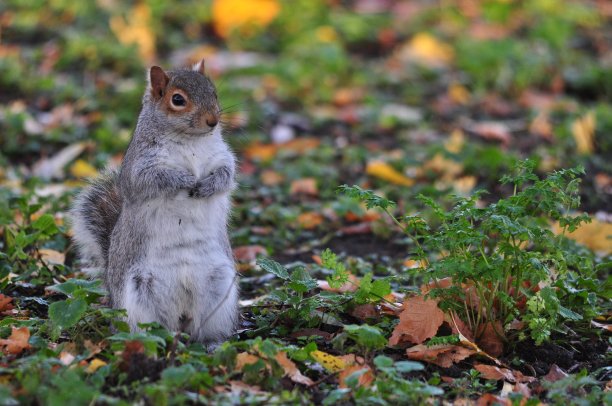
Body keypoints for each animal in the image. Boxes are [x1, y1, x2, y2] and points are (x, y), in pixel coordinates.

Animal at [69, 60, 237, 342]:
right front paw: (184, 179)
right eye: (178, 100)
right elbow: (153, 179)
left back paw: (211, 343)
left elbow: (226, 176)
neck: (191, 141)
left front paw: (207, 185)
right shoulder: (140, 167)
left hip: (219, 288)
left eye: (213, 92)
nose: (213, 121)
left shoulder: (223, 158)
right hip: (139, 295)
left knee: (202, 329)